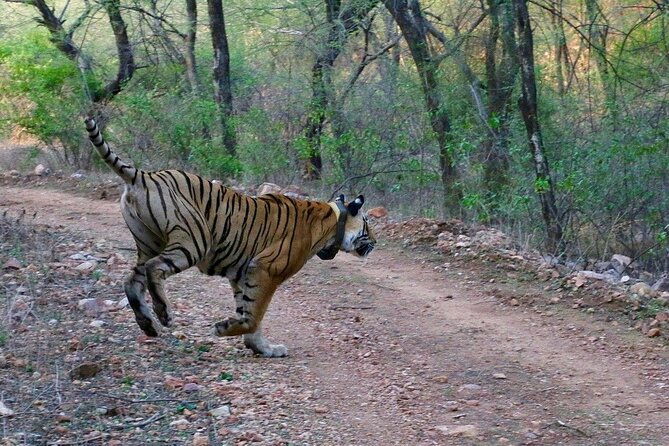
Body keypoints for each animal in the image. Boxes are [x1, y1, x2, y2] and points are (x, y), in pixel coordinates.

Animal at [84, 117, 376, 357]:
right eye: (368, 224)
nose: (374, 243)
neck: (331, 222)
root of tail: (143, 175)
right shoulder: (265, 269)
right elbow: (256, 314)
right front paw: (224, 329)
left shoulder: (243, 272)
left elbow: (249, 312)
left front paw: (261, 348)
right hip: (195, 240)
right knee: (155, 269)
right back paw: (163, 313)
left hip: (149, 242)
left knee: (132, 280)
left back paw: (147, 324)